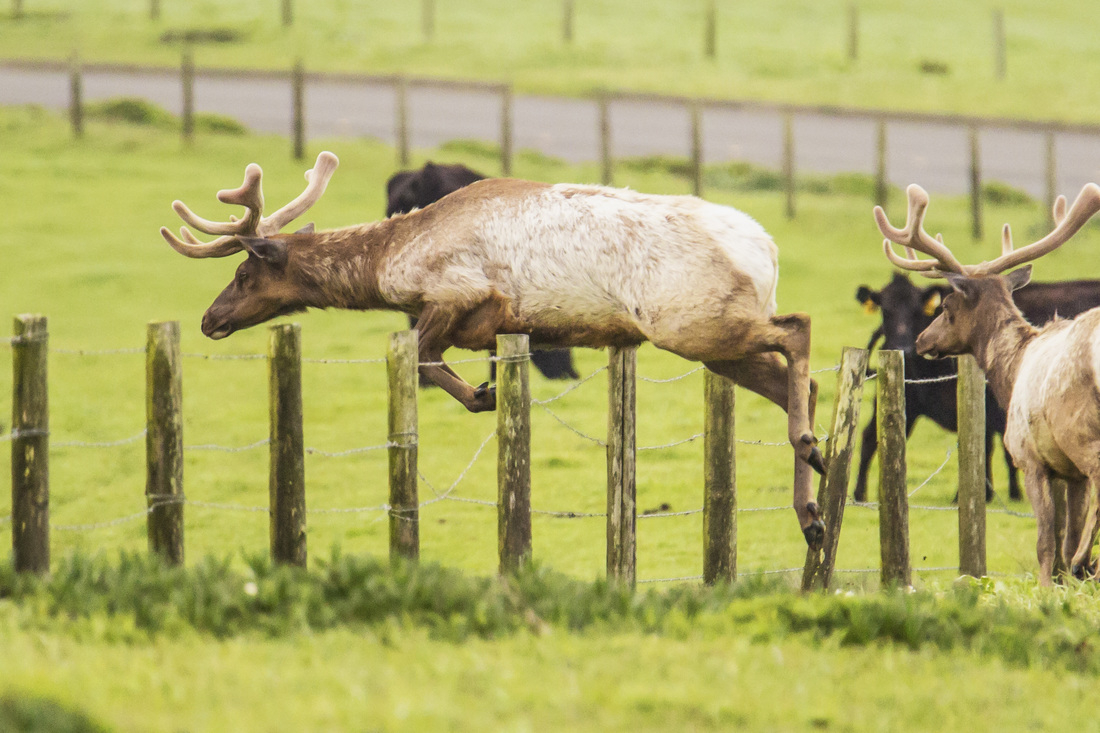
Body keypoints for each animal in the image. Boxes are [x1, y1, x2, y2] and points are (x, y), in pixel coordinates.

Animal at [160, 150, 827, 545]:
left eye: (244, 274)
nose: (210, 319)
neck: (391, 265)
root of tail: (767, 251)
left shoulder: (459, 295)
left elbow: (423, 356)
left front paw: (484, 396)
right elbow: (429, 357)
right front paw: (486, 393)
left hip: (690, 322)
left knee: (798, 328)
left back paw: (810, 453)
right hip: (713, 340)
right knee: (806, 377)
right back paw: (813, 508)